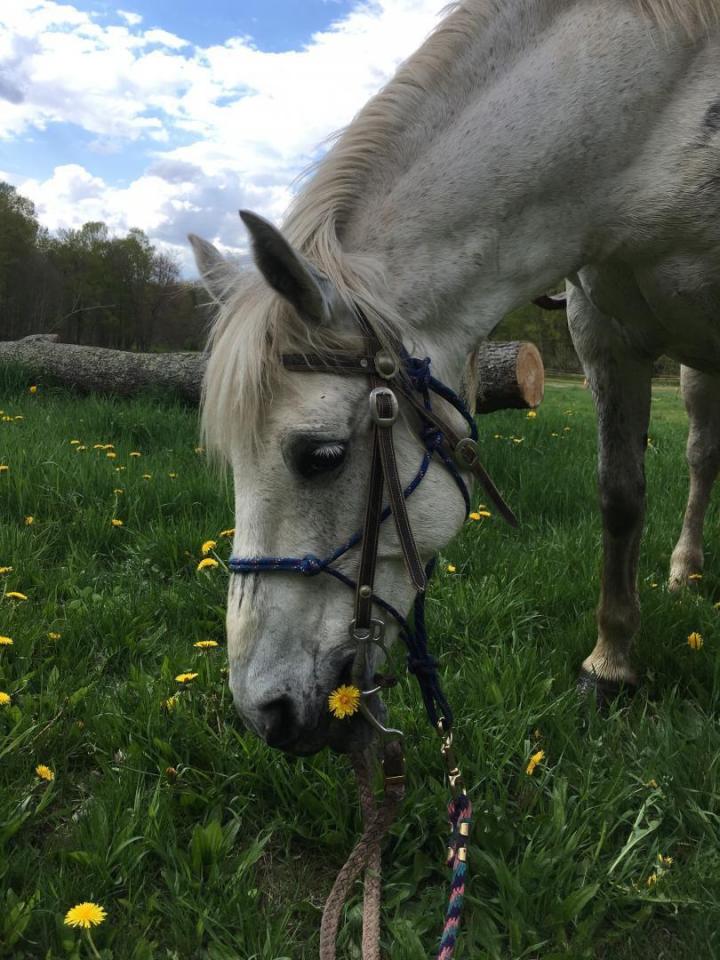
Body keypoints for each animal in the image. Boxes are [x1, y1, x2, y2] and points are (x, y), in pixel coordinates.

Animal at [190, 0, 720, 754]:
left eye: (321, 456)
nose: (265, 713)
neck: (659, 121)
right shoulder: (602, 334)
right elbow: (620, 497)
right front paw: (610, 664)